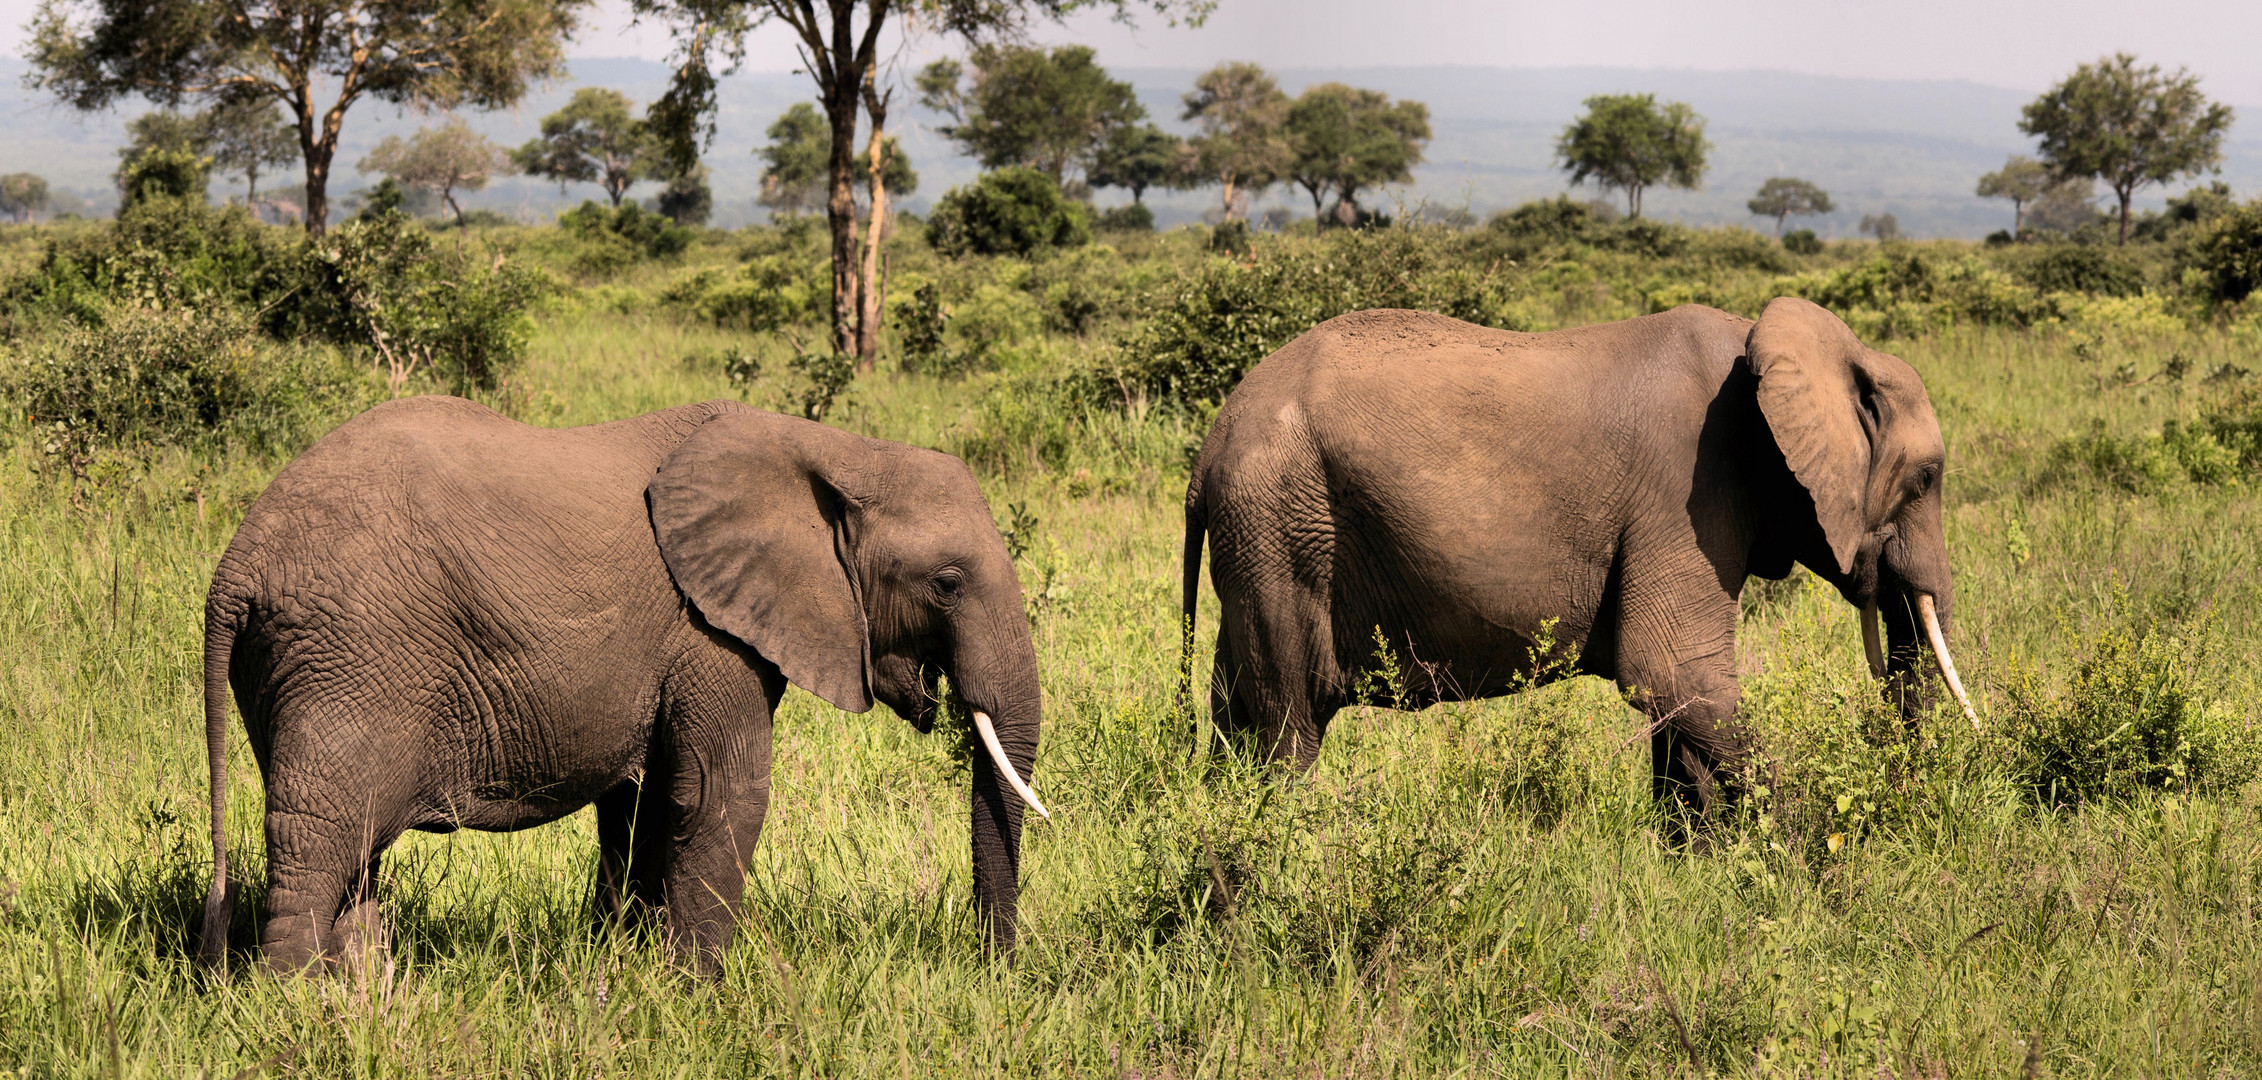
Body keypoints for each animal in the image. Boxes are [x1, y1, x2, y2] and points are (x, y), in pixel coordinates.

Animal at [199, 398, 1045, 978]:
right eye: (946, 583)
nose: (992, 970)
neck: (826, 446)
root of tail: (237, 566)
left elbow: (641, 801)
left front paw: (627, 967)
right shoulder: (706, 629)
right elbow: (721, 795)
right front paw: (699, 995)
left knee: (356, 850)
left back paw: (364, 996)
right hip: (346, 657)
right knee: (321, 839)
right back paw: (297, 1004)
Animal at [1176, 298, 1972, 810]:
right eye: (1926, 479)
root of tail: (1208, 450)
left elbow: (1678, 706)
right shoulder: (1687, 495)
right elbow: (1675, 674)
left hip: (1259, 538)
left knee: (1233, 715)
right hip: (1282, 526)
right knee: (1286, 731)